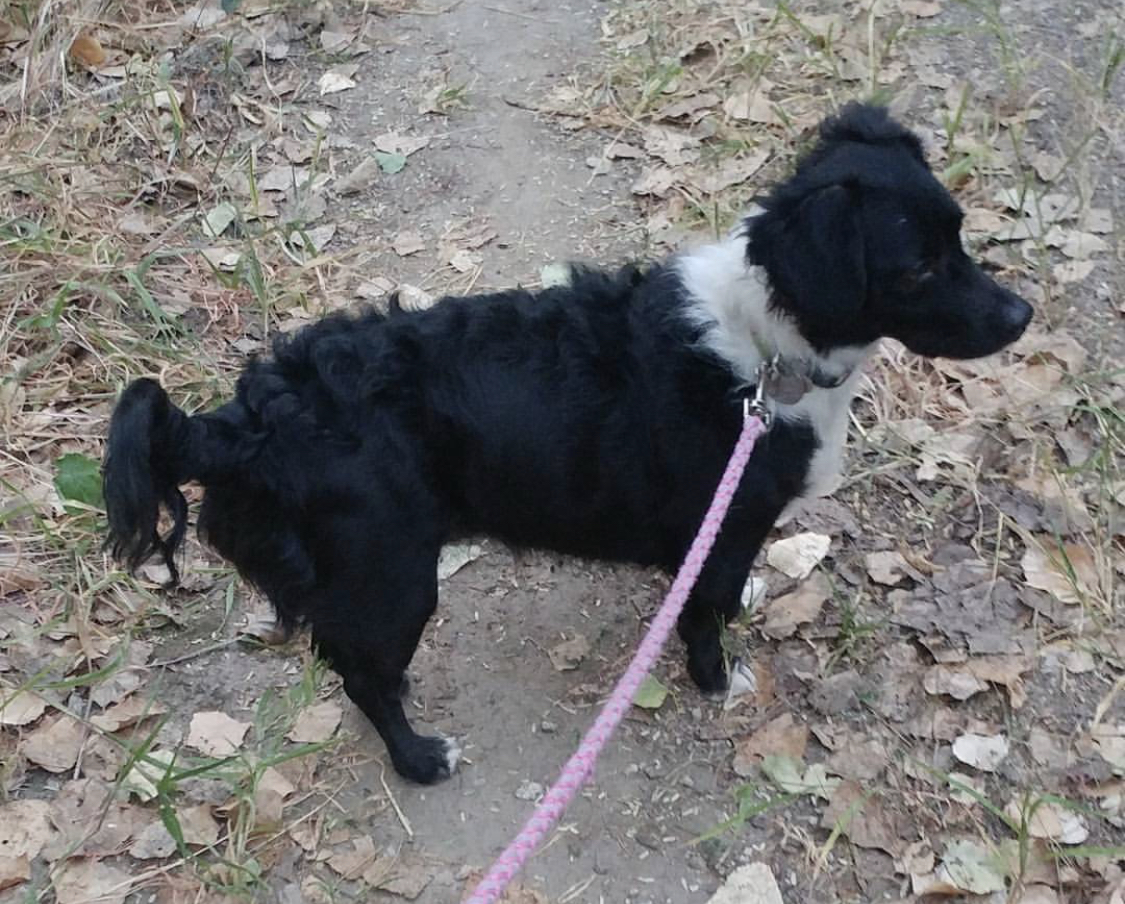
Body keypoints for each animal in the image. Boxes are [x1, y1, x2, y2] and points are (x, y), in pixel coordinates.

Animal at [103, 104, 1030, 782]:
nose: (1022, 315)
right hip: (393, 577)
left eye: (959, 232)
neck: (765, 352)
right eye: (917, 267)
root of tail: (246, 421)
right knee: (363, 674)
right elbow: (703, 617)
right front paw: (716, 680)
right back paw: (419, 758)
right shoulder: (722, 524)